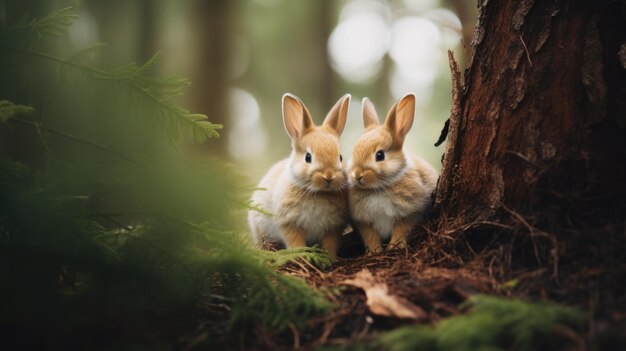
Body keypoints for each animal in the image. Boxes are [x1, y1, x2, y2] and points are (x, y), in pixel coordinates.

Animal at [246, 93, 348, 258]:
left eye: (340, 157)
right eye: (308, 157)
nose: (329, 176)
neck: (318, 193)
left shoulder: (333, 228)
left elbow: (330, 243)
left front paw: (331, 258)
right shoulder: (289, 223)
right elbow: (295, 241)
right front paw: (300, 255)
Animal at [346, 93, 438, 253]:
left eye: (380, 155)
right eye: (354, 152)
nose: (357, 175)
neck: (378, 189)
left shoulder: (408, 214)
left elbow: (401, 231)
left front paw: (395, 247)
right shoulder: (365, 223)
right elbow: (371, 237)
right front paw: (374, 252)